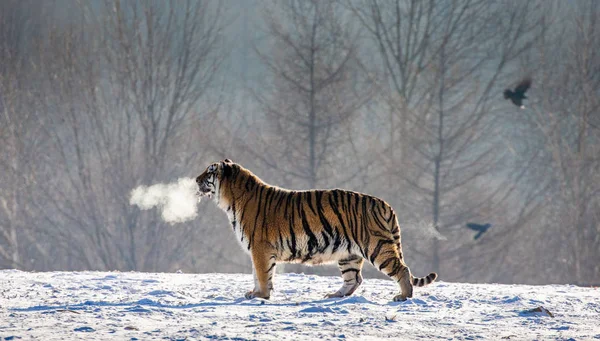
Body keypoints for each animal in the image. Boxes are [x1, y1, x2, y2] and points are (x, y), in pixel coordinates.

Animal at [196, 159, 436, 300]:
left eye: (209, 172)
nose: (196, 179)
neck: (230, 200)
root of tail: (385, 204)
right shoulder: (257, 251)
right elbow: (258, 274)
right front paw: (255, 293)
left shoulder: (260, 248)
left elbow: (263, 274)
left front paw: (261, 295)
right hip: (349, 253)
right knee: (354, 279)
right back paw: (333, 295)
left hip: (377, 246)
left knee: (402, 269)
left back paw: (403, 296)